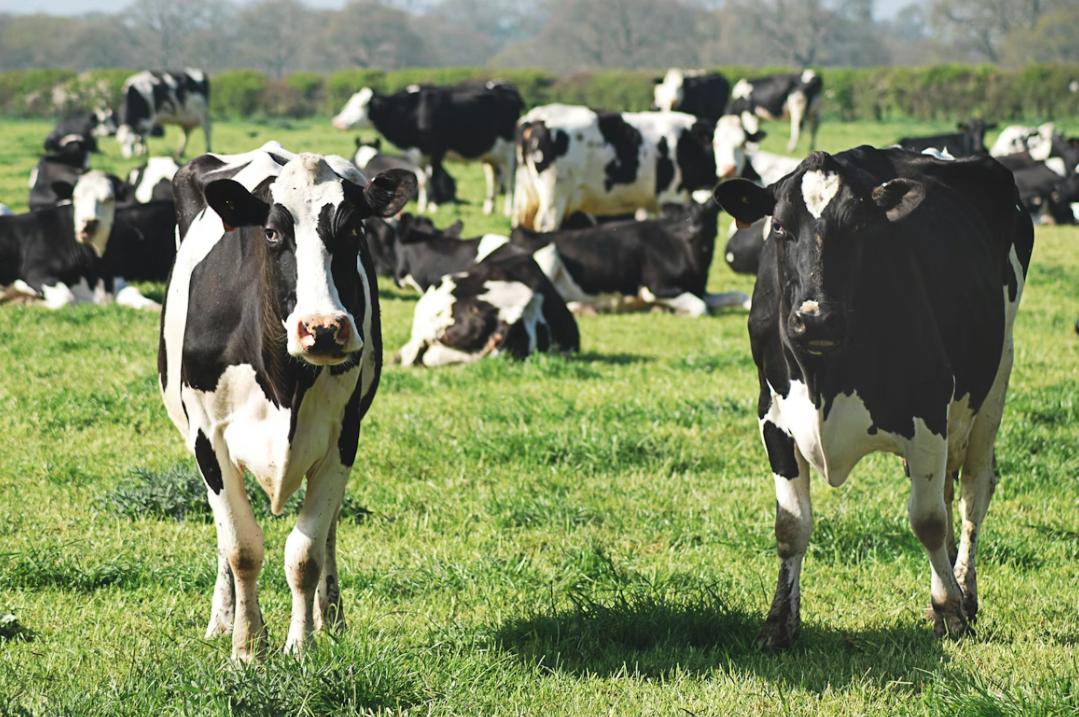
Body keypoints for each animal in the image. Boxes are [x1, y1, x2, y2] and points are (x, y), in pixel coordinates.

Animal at [158, 143, 415, 662]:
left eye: (354, 229)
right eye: (273, 232)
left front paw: (301, 645)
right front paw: (246, 647)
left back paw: (330, 616)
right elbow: (241, 547)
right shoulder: (207, 438)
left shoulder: (343, 438)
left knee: (330, 528)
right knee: (224, 539)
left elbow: (305, 552)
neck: (284, 384)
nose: (323, 328)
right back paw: (222, 619)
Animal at [332, 82, 522, 215]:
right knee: (494, 178)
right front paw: (422, 206)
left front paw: (433, 206)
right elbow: (423, 181)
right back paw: (489, 209)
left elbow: (434, 178)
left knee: (510, 180)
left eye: (360, 105)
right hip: (491, 155)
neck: (413, 110)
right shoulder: (417, 156)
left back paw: (508, 210)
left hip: (509, 150)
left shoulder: (436, 151)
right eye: (348, 103)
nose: (337, 122)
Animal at [509, 198, 748, 316]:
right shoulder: (656, 288)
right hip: (548, 254)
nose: (695, 230)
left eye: (710, 213)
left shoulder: (700, 289)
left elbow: (740, 296)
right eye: (684, 214)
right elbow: (701, 307)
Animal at [512, 104, 717, 231]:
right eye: (718, 141)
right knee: (546, 225)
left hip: (527, 194)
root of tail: (535, 118)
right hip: (555, 195)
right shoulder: (671, 195)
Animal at [711, 146, 1033, 649]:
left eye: (858, 225)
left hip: (996, 377)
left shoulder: (927, 410)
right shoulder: (773, 417)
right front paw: (779, 622)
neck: (823, 376)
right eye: (779, 226)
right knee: (948, 491)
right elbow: (790, 525)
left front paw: (949, 612)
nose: (815, 318)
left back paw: (966, 592)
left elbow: (928, 520)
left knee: (972, 493)